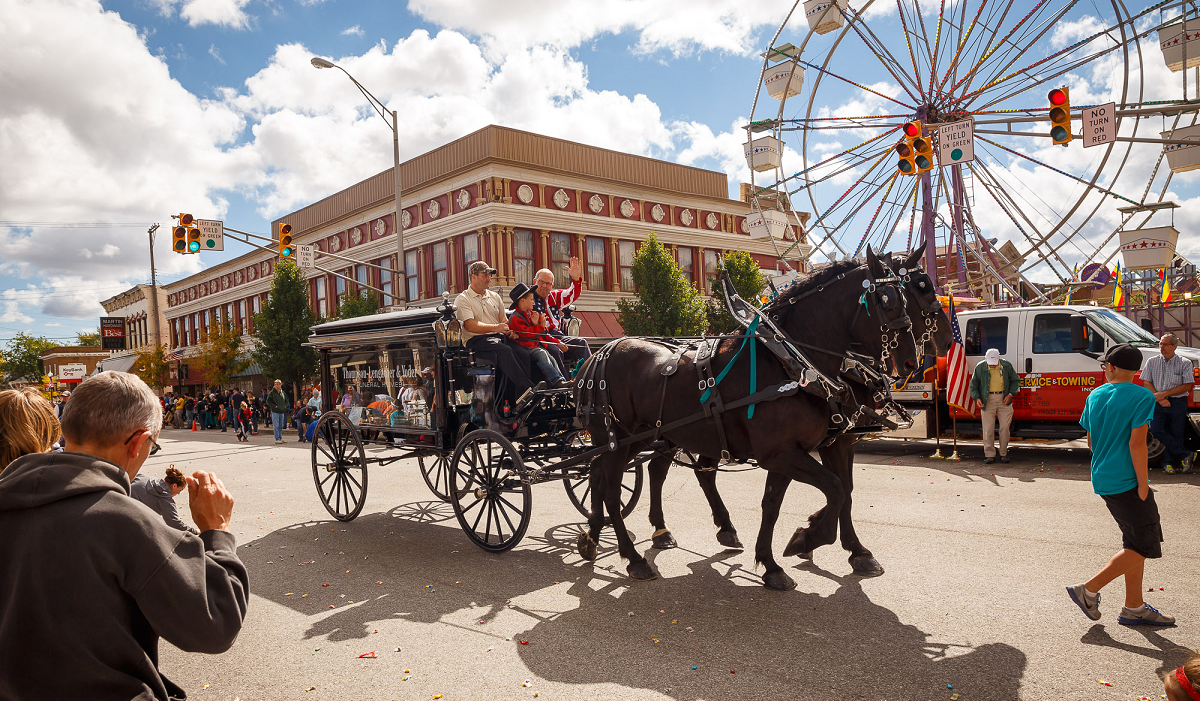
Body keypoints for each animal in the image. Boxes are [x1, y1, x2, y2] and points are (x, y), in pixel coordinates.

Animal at [571, 249, 916, 588]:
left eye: (907, 296)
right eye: (887, 300)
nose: (911, 361)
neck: (791, 364)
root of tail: (596, 356)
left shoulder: (798, 451)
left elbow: (779, 503)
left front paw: (774, 561)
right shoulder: (783, 453)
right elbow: (836, 489)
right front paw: (808, 539)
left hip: (640, 437)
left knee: (602, 475)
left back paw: (594, 537)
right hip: (615, 439)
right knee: (612, 489)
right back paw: (633, 557)